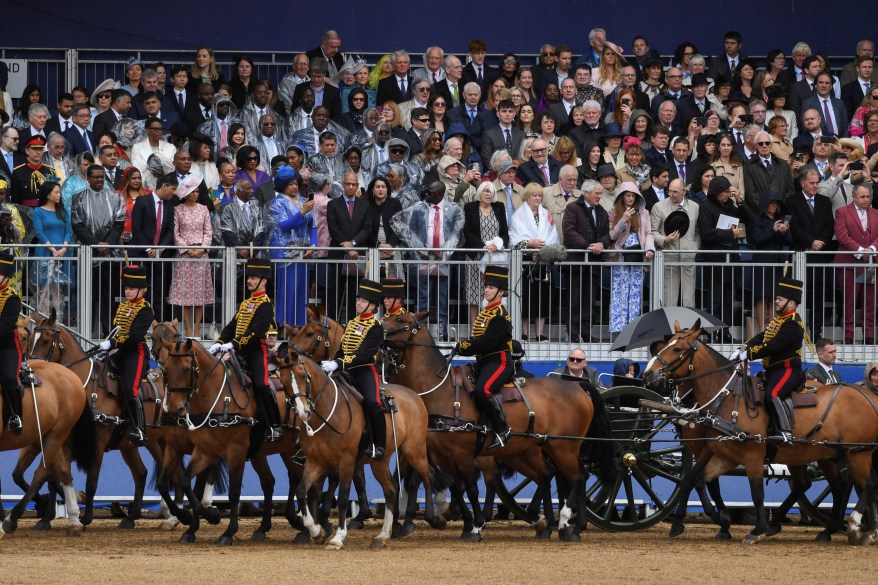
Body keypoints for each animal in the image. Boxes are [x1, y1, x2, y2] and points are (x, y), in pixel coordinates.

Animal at [0, 358, 97, 536]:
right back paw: (74, 518)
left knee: (41, 474)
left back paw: (12, 520)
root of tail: (72, 376)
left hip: (56, 434)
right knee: (63, 471)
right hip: (48, 436)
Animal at [276, 352, 444, 548]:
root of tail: (414, 395)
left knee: (428, 475)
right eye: (283, 382)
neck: (328, 413)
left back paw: (433, 518)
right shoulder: (316, 462)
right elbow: (302, 492)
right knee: (391, 490)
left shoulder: (346, 462)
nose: (303, 412)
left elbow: (342, 499)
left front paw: (338, 536)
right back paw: (383, 535)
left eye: (303, 376)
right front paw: (316, 531)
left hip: (414, 450)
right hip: (379, 462)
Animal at [384, 308, 620, 540]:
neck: (439, 389)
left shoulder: (462, 453)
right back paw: (555, 524)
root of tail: (578, 386)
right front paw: (465, 523)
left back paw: (564, 523)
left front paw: (475, 526)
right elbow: (456, 487)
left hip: (564, 447)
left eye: (400, 319)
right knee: (549, 475)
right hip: (526, 450)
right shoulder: (443, 453)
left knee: (578, 477)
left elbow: (471, 488)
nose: (378, 327)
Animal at [644, 320, 878, 544]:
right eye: (666, 344)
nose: (648, 373)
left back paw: (856, 526)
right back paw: (836, 530)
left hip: (857, 452)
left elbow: (756, 493)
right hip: (826, 454)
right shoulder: (722, 455)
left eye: (678, 349)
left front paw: (756, 529)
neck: (727, 397)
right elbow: (699, 480)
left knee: (866, 485)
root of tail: (867, 395)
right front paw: (720, 520)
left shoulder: (751, 456)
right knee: (835, 487)